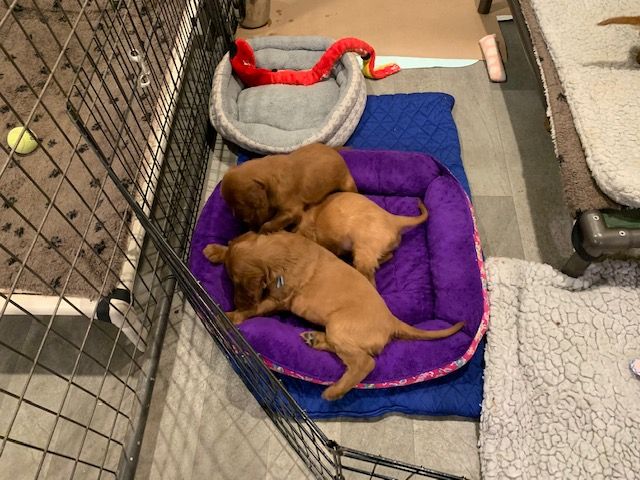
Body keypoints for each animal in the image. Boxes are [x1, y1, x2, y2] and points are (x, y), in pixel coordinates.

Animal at [203, 231, 464, 401]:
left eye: (236, 284)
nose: (234, 301)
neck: (282, 255)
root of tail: (391, 320)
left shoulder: (278, 300)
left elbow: (254, 309)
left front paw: (231, 314)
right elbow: (235, 244)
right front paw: (216, 250)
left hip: (339, 326)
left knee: (364, 363)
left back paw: (333, 391)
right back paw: (315, 339)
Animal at [220, 143, 357, 233]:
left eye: (240, 205)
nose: (242, 221)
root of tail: (334, 150)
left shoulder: (291, 209)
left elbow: (269, 224)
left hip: (347, 184)